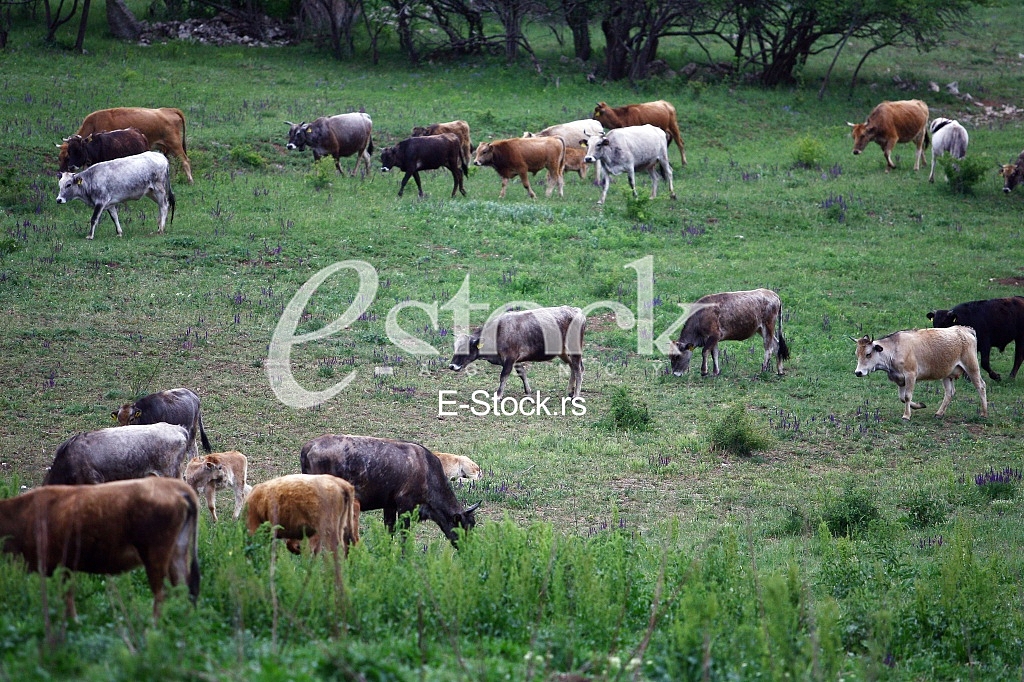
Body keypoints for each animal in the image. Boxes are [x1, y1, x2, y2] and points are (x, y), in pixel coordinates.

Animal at [0, 477, 200, 620]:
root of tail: (177, 488)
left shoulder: (60, 565)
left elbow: (67, 598)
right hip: (178, 552)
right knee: (184, 587)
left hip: (155, 555)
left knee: (162, 593)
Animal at [60, 107, 193, 183]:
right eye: (61, 156)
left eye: (67, 157)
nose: (61, 172)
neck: (94, 123)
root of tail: (170, 110)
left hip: (175, 145)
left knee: (185, 161)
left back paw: (190, 181)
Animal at [300, 434, 480, 547]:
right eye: (464, 526)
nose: (468, 549)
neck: (426, 469)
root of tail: (308, 447)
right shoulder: (405, 506)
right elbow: (404, 535)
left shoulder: (389, 506)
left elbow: (390, 532)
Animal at [448, 305, 586, 399]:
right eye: (455, 348)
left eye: (466, 349)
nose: (451, 366)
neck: (498, 332)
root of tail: (577, 311)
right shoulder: (515, 360)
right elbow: (522, 373)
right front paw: (528, 390)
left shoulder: (510, 358)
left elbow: (503, 376)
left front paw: (498, 396)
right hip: (563, 352)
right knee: (573, 367)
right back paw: (570, 390)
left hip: (574, 349)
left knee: (578, 369)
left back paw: (576, 395)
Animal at [853, 327, 988, 421]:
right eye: (857, 354)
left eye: (868, 354)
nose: (858, 372)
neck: (894, 349)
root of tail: (964, 329)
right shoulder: (899, 379)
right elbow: (902, 398)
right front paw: (919, 405)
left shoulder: (910, 376)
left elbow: (907, 396)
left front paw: (906, 416)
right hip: (947, 374)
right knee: (949, 393)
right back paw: (939, 413)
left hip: (972, 367)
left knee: (981, 386)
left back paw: (984, 413)